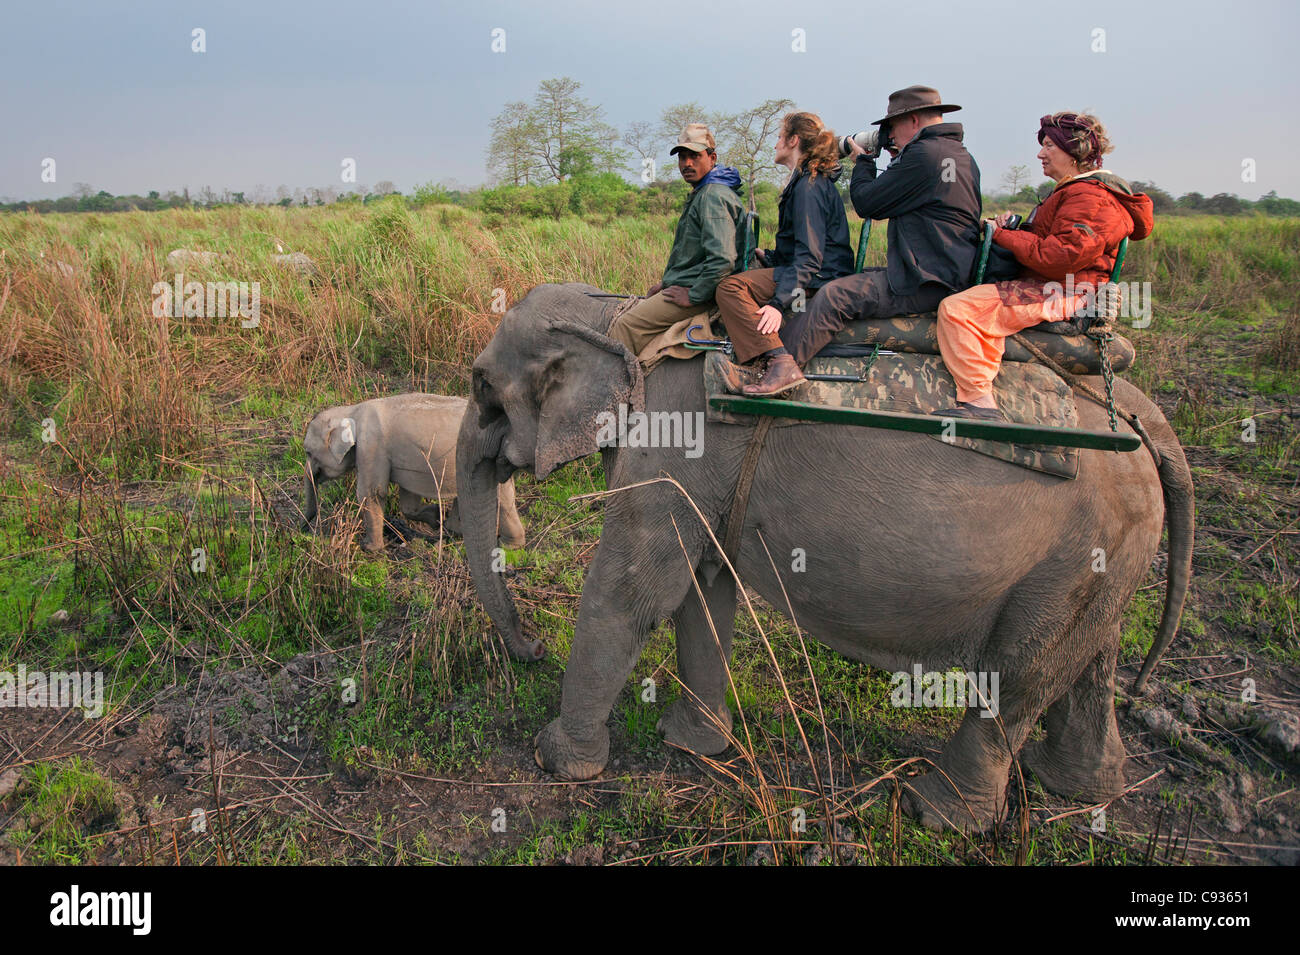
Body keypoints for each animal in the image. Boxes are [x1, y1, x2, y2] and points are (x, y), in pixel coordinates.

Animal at [301, 392, 525, 548]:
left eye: (308, 452)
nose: (305, 529)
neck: (351, 410)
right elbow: (408, 502)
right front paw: (436, 518)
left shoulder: (371, 447)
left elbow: (371, 493)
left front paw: (369, 548)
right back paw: (453, 531)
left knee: (501, 500)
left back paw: (509, 546)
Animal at [457, 281, 1196, 831]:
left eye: (482, 387)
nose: (531, 647)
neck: (619, 316)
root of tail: (1142, 414)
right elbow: (705, 583)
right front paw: (694, 745)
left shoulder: (674, 438)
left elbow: (633, 590)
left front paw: (556, 762)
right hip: (1102, 555)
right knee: (1087, 656)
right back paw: (1078, 785)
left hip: (1075, 553)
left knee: (1015, 678)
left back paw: (936, 814)